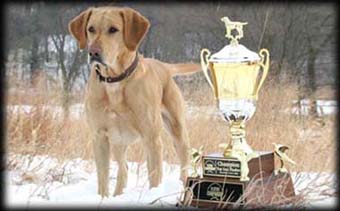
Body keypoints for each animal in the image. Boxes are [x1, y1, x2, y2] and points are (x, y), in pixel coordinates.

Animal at [68, 7, 201, 198]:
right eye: (91, 29)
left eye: (113, 29)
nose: (93, 52)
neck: (115, 81)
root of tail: (163, 65)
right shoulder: (99, 136)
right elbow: (103, 179)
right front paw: (103, 198)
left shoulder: (152, 138)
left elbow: (155, 178)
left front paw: (154, 196)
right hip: (118, 140)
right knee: (123, 168)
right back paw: (118, 195)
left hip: (177, 131)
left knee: (183, 165)